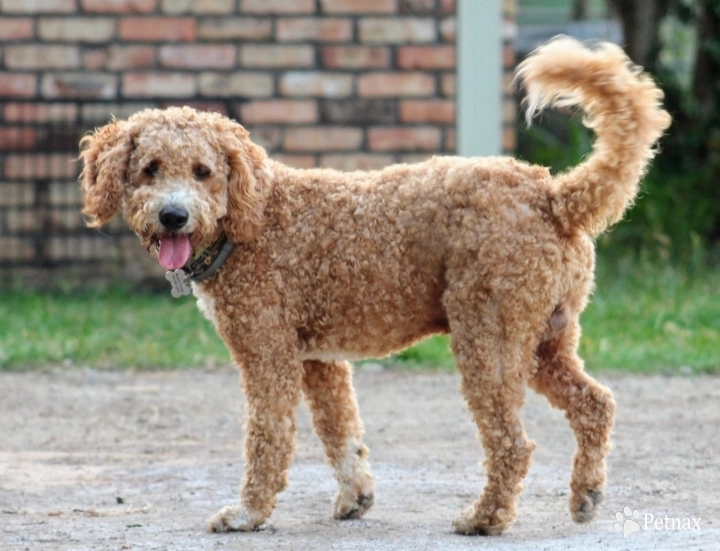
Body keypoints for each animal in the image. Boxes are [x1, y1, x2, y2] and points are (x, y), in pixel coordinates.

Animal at [79, 40, 668, 540]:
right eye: (150, 168)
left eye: (202, 171)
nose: (173, 216)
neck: (256, 216)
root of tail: (553, 193)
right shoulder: (319, 361)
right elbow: (340, 432)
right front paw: (355, 498)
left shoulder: (268, 354)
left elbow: (269, 438)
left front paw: (248, 512)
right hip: (546, 340)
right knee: (596, 405)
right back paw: (586, 494)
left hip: (489, 339)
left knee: (512, 443)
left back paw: (485, 517)